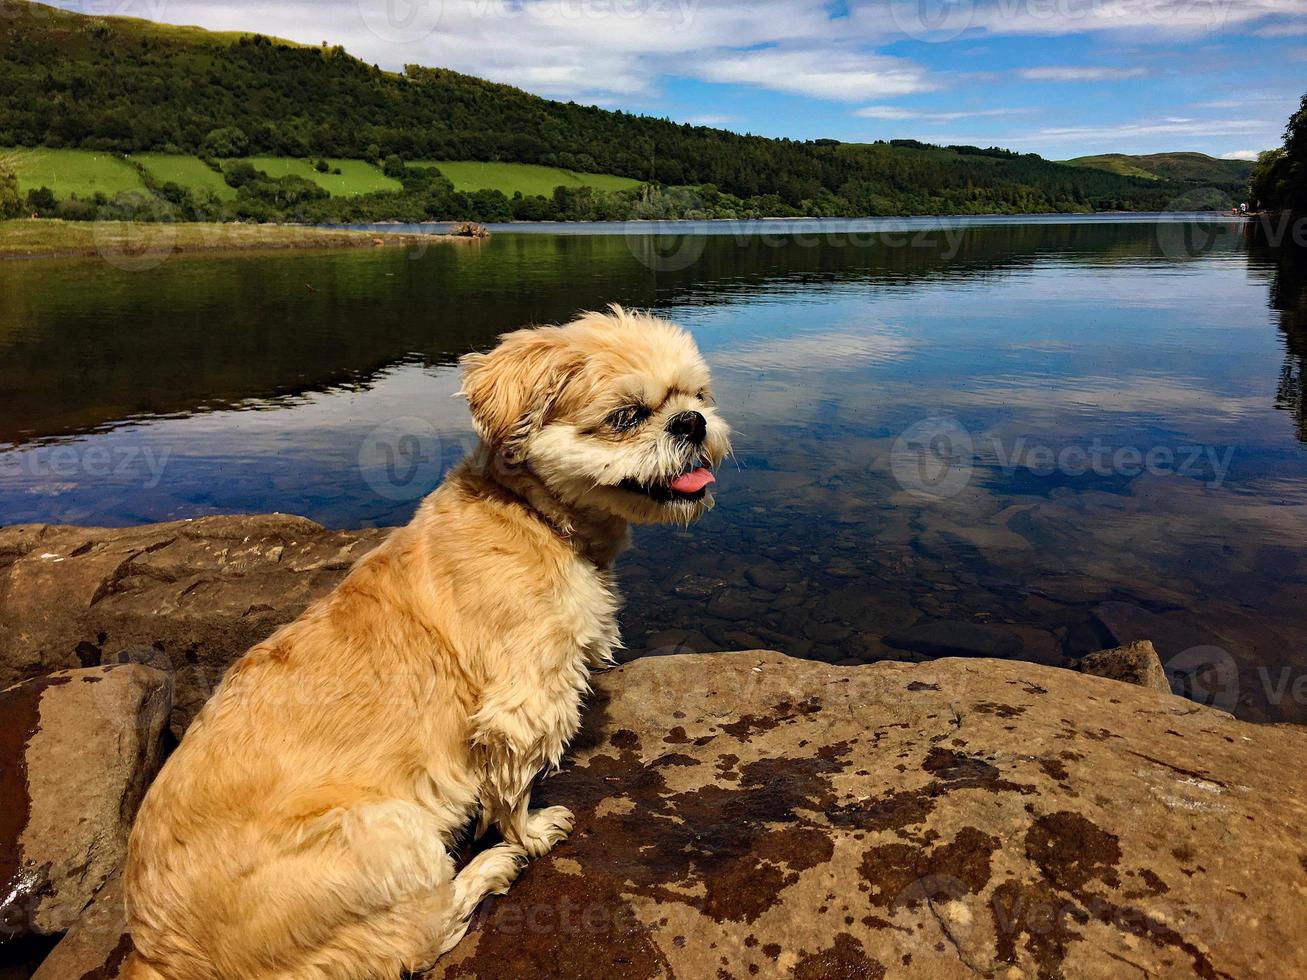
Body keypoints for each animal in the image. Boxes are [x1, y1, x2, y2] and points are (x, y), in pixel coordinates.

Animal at [120, 308, 737, 980]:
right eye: (627, 416)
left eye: (697, 396)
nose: (692, 422)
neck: (532, 517)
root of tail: (159, 954)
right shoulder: (522, 703)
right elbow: (512, 789)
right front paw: (528, 835)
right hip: (387, 830)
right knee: (421, 933)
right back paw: (487, 870)